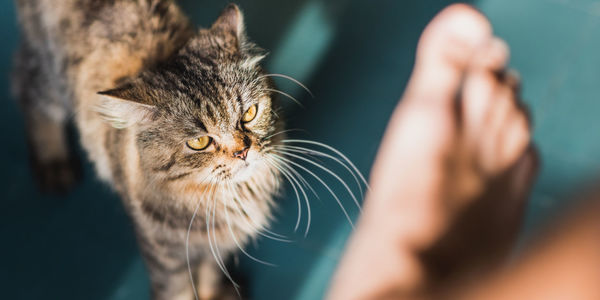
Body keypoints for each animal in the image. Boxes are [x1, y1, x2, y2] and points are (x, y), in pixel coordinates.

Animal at [13, 1, 286, 298]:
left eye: (249, 114)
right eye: (199, 142)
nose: (242, 152)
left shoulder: (218, 242)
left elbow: (212, 273)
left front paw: (216, 292)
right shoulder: (165, 253)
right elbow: (178, 290)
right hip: (50, 79)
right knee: (24, 82)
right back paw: (53, 163)